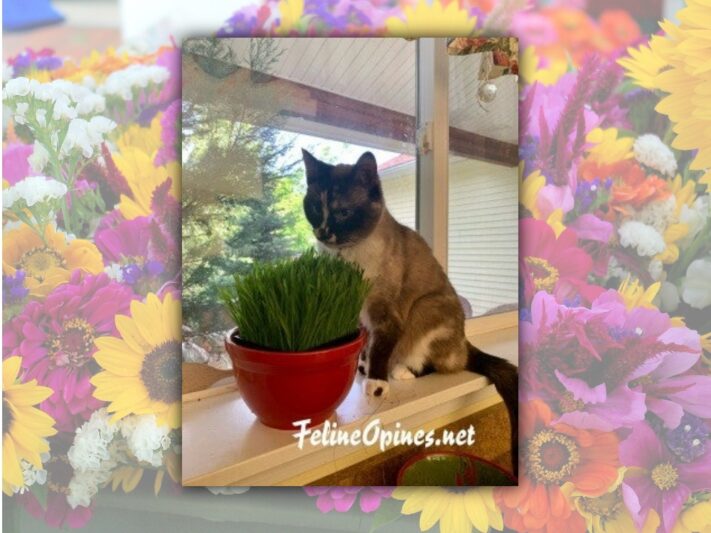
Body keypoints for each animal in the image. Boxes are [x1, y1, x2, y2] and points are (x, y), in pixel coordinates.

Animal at [304, 148, 520, 472]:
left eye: (343, 213)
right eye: (316, 207)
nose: (323, 232)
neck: (346, 258)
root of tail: (465, 341)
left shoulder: (385, 314)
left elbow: (381, 348)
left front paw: (376, 383)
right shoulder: (357, 313)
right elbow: (366, 345)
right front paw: (364, 367)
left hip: (425, 308)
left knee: (437, 363)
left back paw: (400, 371)